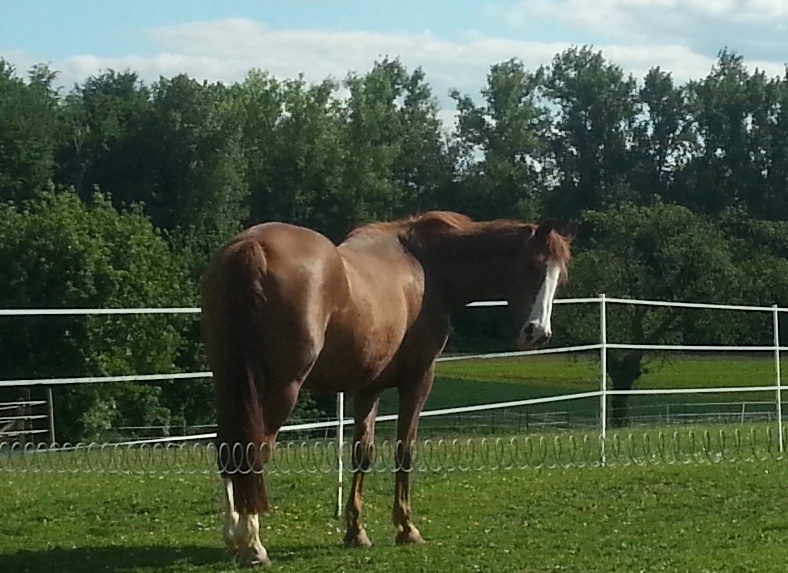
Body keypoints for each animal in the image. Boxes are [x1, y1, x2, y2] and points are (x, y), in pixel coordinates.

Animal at [200, 210, 576, 564]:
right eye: (532, 266)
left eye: (561, 277)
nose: (537, 333)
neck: (426, 266)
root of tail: (252, 247)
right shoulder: (418, 380)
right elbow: (404, 451)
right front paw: (406, 528)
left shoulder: (368, 387)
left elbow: (362, 454)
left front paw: (356, 531)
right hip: (281, 388)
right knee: (254, 451)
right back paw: (253, 545)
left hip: (228, 381)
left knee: (228, 449)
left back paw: (234, 539)